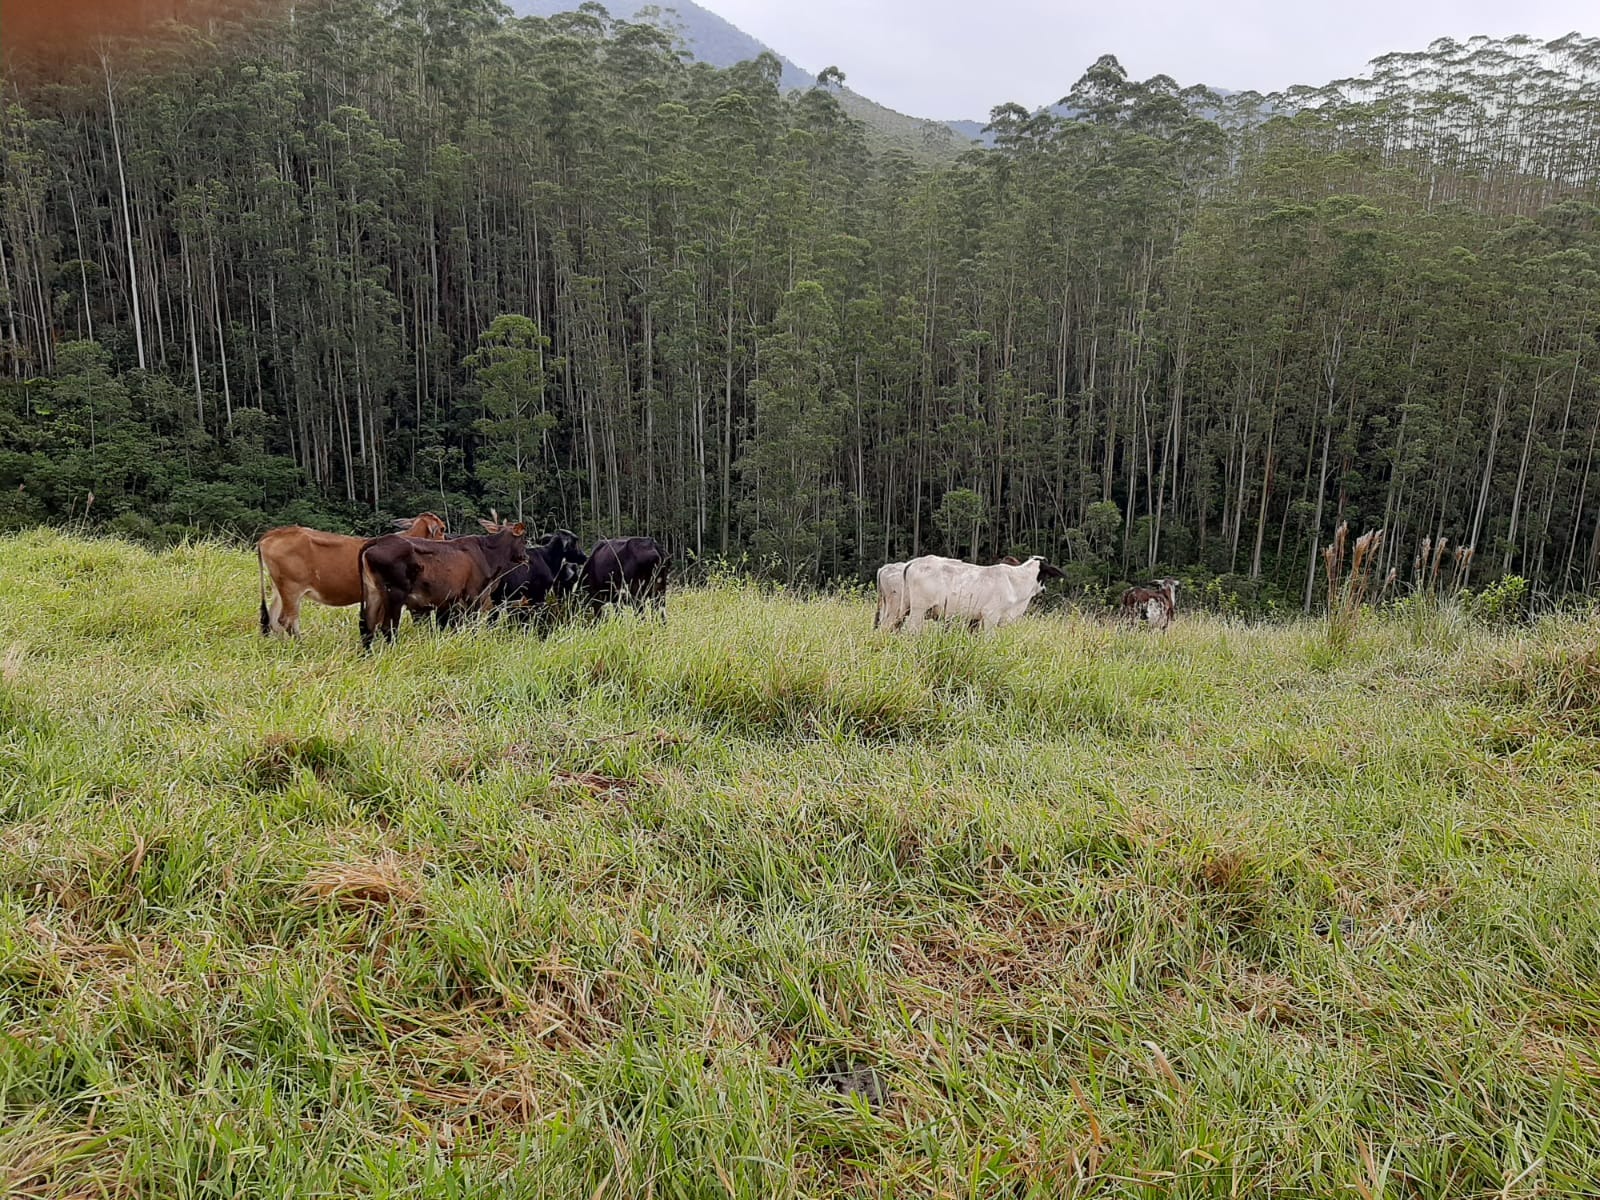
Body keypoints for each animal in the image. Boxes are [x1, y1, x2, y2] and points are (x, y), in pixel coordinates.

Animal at [257, 508, 448, 640]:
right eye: (442, 529)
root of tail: (273, 533)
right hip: (292, 589)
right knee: (287, 620)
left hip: (279, 589)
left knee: (273, 620)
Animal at [358, 518, 528, 649]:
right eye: (523, 540)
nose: (525, 556)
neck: (487, 554)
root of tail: (378, 540)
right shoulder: (473, 596)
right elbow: (471, 626)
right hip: (395, 593)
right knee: (388, 627)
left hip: (373, 592)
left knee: (367, 626)